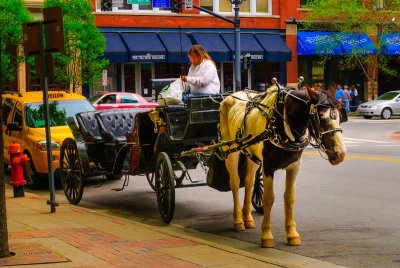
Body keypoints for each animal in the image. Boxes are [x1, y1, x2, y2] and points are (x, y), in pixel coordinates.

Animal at [219, 83, 346, 247]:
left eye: (339, 116)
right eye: (322, 118)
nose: (340, 154)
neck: (282, 125)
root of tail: (230, 95)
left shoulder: (294, 166)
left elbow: (289, 198)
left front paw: (292, 234)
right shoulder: (268, 166)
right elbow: (269, 198)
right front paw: (266, 236)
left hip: (252, 155)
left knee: (249, 182)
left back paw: (247, 218)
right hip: (230, 150)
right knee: (234, 183)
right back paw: (238, 221)